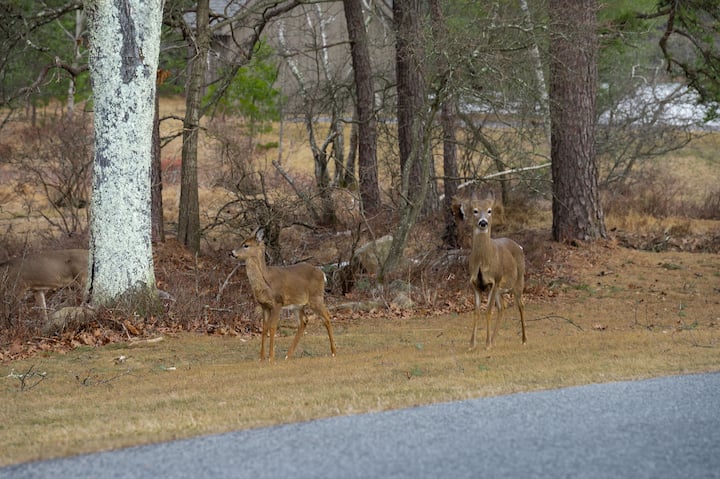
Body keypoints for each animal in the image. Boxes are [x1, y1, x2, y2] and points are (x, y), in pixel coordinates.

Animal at [230, 228, 337, 361]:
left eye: (246, 245)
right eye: (242, 242)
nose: (232, 253)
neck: (266, 282)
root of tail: (322, 273)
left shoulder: (278, 302)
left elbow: (272, 327)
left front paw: (271, 357)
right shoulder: (264, 306)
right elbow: (264, 328)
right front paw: (262, 358)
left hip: (316, 297)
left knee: (326, 317)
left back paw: (334, 352)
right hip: (298, 305)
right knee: (303, 321)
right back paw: (288, 355)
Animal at [454, 191, 527, 350]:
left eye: (489, 210)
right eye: (475, 211)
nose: (483, 222)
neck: (483, 262)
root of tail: (519, 247)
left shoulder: (495, 280)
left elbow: (488, 311)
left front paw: (486, 344)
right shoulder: (475, 283)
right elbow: (476, 312)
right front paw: (472, 344)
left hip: (518, 280)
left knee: (521, 305)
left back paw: (524, 339)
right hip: (500, 290)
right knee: (503, 307)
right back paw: (494, 340)